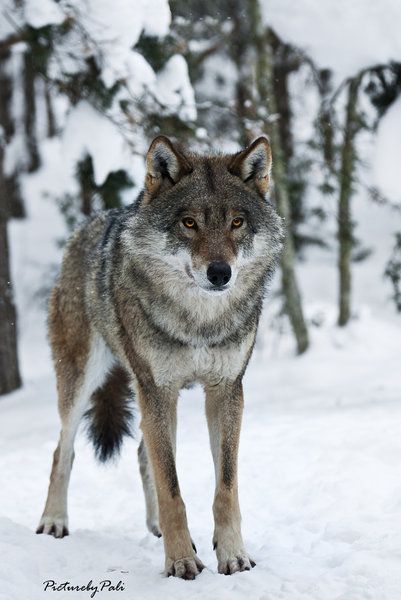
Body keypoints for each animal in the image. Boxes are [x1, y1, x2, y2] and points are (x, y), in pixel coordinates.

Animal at [36, 135, 282, 576]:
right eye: (189, 223)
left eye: (237, 223)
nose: (220, 273)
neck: (199, 322)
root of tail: (92, 222)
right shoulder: (157, 389)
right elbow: (173, 490)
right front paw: (181, 561)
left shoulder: (226, 391)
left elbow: (225, 486)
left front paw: (232, 555)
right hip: (84, 382)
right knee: (63, 450)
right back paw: (54, 520)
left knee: (141, 453)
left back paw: (155, 529)